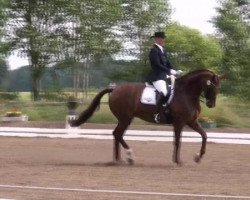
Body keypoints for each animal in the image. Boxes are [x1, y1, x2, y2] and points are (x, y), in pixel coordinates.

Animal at [70, 69, 223, 165]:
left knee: (116, 134)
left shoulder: (191, 122)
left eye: (218, 87)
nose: (211, 104)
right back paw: (130, 157)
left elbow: (204, 135)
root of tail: (115, 88)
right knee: (118, 134)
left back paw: (118, 160)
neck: (186, 93)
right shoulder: (179, 123)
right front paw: (177, 161)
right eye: (212, 86)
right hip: (125, 118)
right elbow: (177, 141)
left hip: (124, 119)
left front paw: (198, 157)